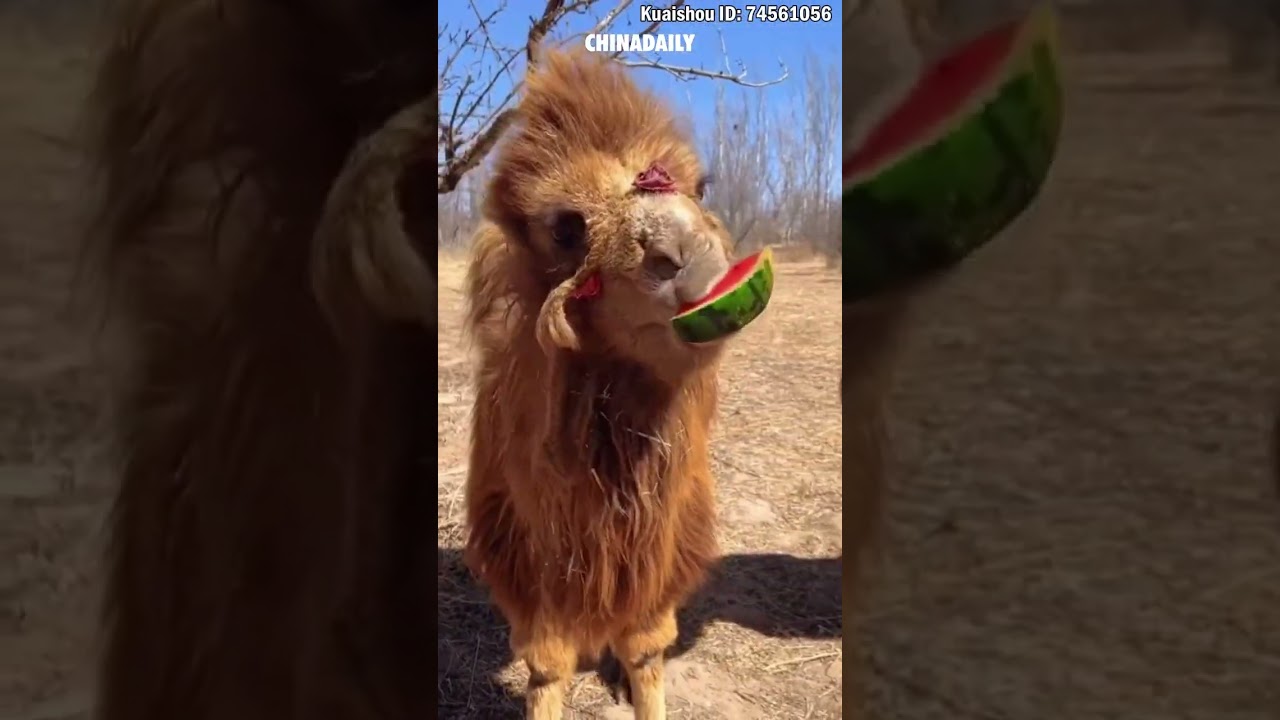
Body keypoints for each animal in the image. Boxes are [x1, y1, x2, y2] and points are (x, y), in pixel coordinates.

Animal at [462, 51, 734, 720]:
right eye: (566, 227)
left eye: (700, 187)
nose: (683, 252)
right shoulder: (529, 562)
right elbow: (546, 663)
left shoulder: (664, 552)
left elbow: (646, 647)